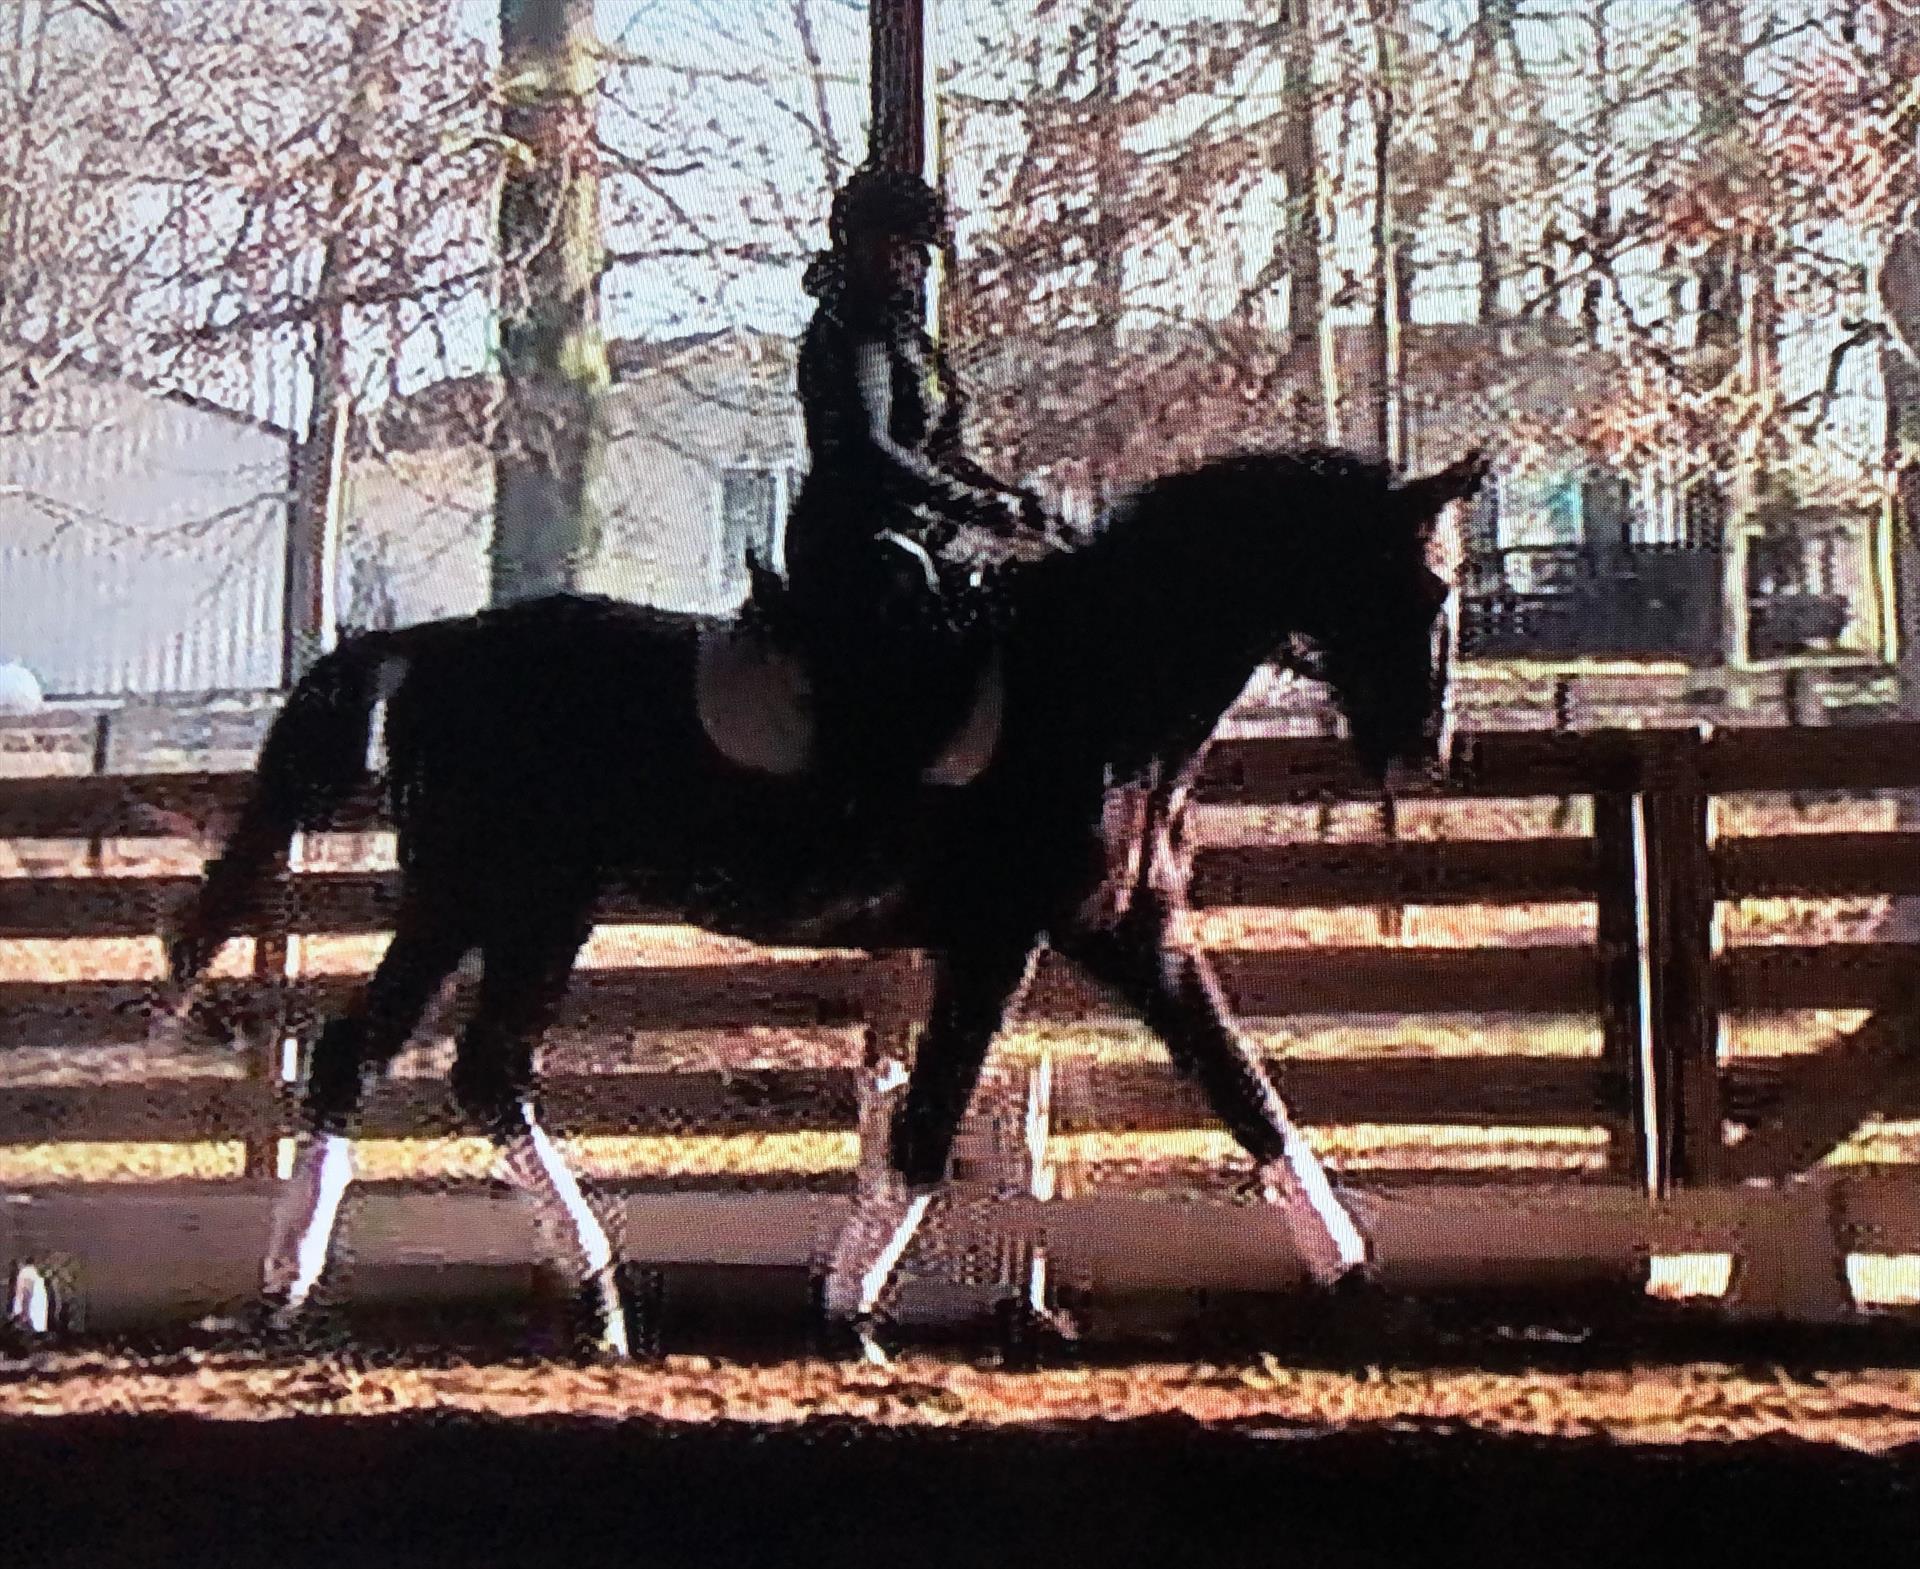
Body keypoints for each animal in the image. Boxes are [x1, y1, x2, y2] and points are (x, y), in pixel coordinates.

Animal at [157, 444, 1487, 1358]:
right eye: (1418, 589)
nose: (1420, 752)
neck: (1100, 685)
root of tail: (431, 645)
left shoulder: (1130, 932)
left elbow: (1245, 1089)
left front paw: (1362, 1284)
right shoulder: (999, 939)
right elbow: (928, 1123)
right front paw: (849, 1309)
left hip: (505, 907)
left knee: (424, 1063)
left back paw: (475, 1295)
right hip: (499, 898)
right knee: (419, 1063)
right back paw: (417, 1291)